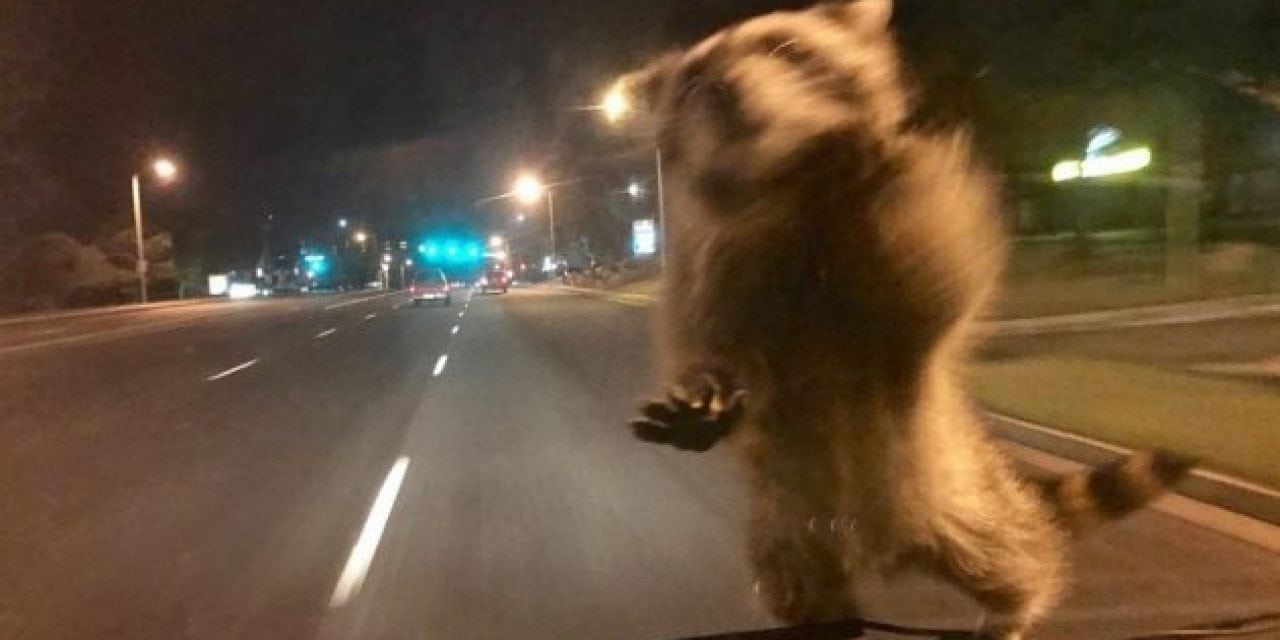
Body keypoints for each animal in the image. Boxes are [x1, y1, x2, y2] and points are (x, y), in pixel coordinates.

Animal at [624, 2, 1192, 637]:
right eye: (694, 80)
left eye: (784, 48)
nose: (722, 88)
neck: (785, 182)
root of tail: (884, 552)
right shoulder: (710, 266)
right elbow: (709, 345)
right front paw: (705, 388)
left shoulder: (908, 229)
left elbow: (932, 275)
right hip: (784, 530)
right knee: (794, 586)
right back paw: (827, 618)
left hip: (958, 495)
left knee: (1008, 554)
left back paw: (1014, 606)